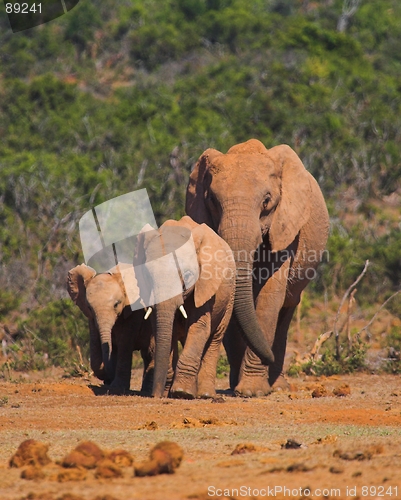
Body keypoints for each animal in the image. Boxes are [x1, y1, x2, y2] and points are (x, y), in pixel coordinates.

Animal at [66, 264, 152, 392]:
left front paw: (117, 388)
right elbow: (96, 351)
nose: (107, 380)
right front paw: (109, 381)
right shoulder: (91, 318)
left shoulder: (133, 312)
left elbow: (124, 343)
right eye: (89, 307)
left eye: (116, 304)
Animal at [184, 139, 328, 396]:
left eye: (266, 201)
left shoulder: (285, 228)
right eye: (212, 201)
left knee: (285, 311)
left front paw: (252, 391)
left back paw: (277, 385)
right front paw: (239, 389)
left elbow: (269, 297)